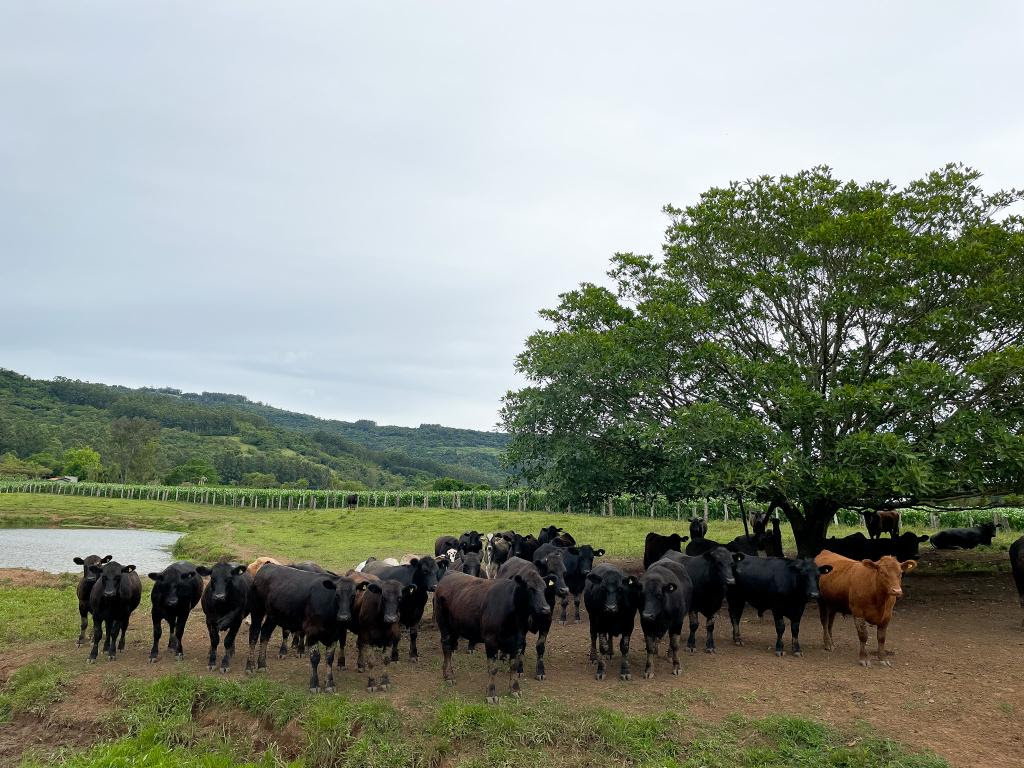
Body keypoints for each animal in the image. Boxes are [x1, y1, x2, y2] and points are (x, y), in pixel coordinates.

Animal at [245, 561, 358, 696]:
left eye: (353, 595)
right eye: (337, 594)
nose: (344, 617)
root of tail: (268, 565)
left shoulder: (334, 635)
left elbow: (329, 659)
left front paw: (330, 684)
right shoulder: (312, 632)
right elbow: (315, 658)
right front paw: (314, 685)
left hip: (273, 615)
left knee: (265, 634)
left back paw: (262, 665)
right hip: (257, 610)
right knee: (254, 634)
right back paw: (250, 666)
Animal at [432, 573, 548, 704]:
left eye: (545, 588)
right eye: (530, 588)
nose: (546, 608)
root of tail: (449, 574)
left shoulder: (519, 641)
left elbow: (514, 665)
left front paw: (515, 689)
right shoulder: (490, 640)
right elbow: (493, 668)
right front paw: (491, 694)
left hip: (456, 626)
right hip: (444, 624)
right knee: (446, 648)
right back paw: (449, 676)